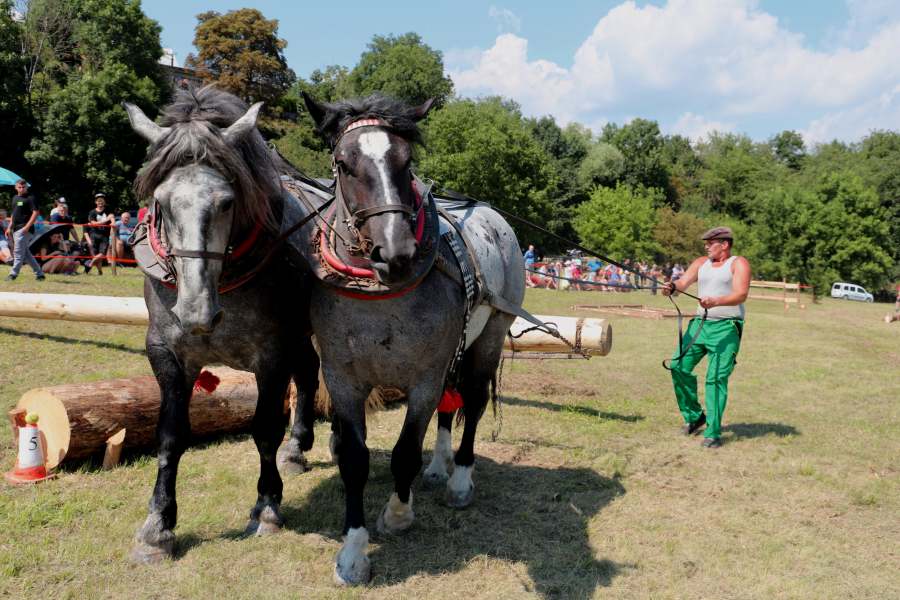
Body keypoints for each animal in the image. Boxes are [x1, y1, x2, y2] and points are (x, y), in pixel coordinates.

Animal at [123, 88, 320, 564]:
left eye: (228, 202)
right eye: (161, 202)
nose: (196, 313)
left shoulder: (272, 352)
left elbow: (264, 428)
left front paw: (267, 506)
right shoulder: (167, 352)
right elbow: (170, 435)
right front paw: (158, 525)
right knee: (308, 373)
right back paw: (297, 448)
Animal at [286, 95, 528, 584]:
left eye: (406, 161)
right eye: (344, 164)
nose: (395, 253)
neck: (380, 297)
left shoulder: (423, 379)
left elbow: (403, 453)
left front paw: (397, 514)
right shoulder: (343, 379)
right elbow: (355, 459)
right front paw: (353, 553)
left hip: (488, 336)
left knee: (472, 402)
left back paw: (459, 479)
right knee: (450, 406)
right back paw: (438, 467)